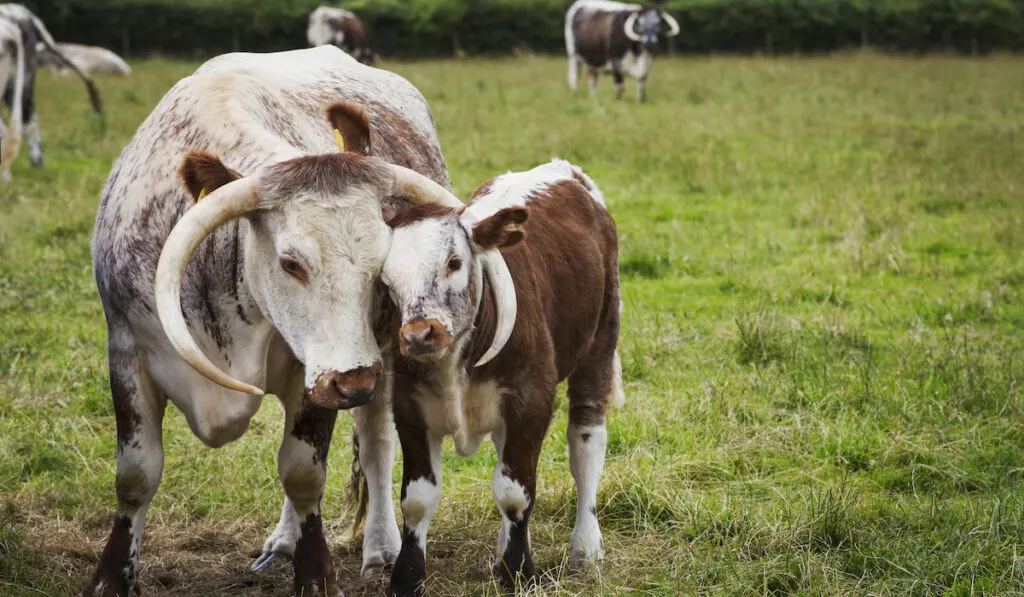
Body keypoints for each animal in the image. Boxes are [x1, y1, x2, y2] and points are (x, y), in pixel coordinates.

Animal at [84, 45, 516, 597]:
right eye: (290, 262)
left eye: (382, 264)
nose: (356, 382)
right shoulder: (126, 350)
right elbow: (136, 475)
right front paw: (111, 576)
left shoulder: (325, 376)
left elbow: (303, 471)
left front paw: (315, 573)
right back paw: (284, 541)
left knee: (374, 445)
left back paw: (380, 547)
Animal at [380, 159, 622, 597]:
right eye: (387, 280)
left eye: (453, 262)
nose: (419, 335)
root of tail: (565, 171)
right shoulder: (408, 407)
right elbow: (417, 499)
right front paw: (407, 577)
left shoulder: (531, 401)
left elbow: (515, 493)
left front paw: (518, 571)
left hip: (600, 342)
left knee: (586, 441)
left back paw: (586, 546)